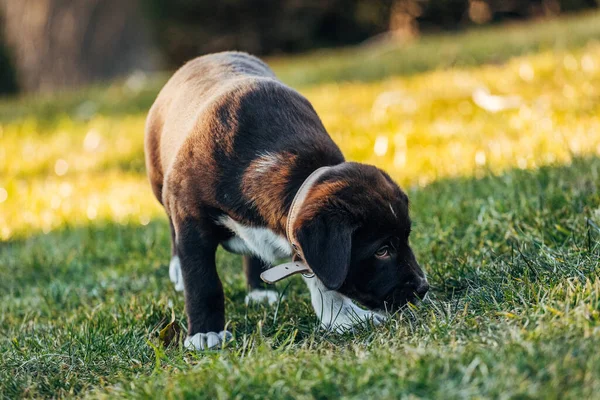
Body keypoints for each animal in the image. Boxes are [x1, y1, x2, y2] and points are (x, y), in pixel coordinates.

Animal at [144, 50, 428, 350]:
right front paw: (205, 333)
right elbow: (202, 281)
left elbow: (318, 274)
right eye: (382, 251)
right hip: (160, 182)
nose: (423, 288)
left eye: (406, 239)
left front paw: (342, 318)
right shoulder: (189, 214)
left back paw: (258, 292)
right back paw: (178, 270)